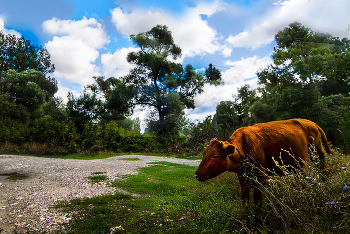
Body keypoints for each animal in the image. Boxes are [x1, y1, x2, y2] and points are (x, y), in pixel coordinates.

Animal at [194, 119, 334, 203]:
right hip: (299, 167)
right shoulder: (242, 179)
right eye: (204, 153)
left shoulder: (261, 177)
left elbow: (257, 200)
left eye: (214, 156)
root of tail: (311, 122)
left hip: (317, 152)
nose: (196, 175)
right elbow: (244, 199)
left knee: (322, 168)